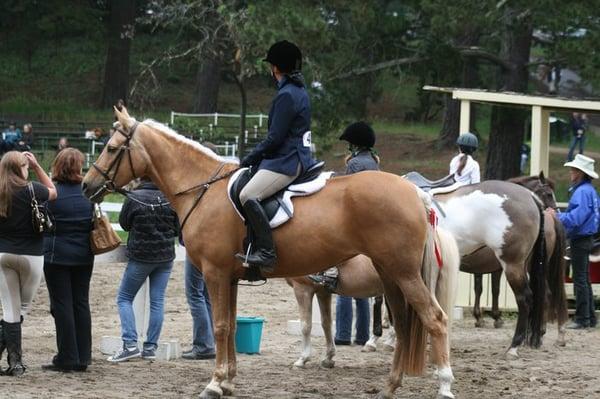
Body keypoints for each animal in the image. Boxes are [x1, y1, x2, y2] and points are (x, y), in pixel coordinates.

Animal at [81, 108, 454, 399]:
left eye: (111, 148)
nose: (86, 185)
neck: (203, 190)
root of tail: (415, 192)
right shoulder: (229, 278)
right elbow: (231, 325)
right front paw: (229, 382)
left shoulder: (215, 273)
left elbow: (219, 326)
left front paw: (214, 384)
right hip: (390, 276)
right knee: (404, 325)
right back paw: (390, 386)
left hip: (403, 273)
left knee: (435, 319)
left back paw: (445, 386)